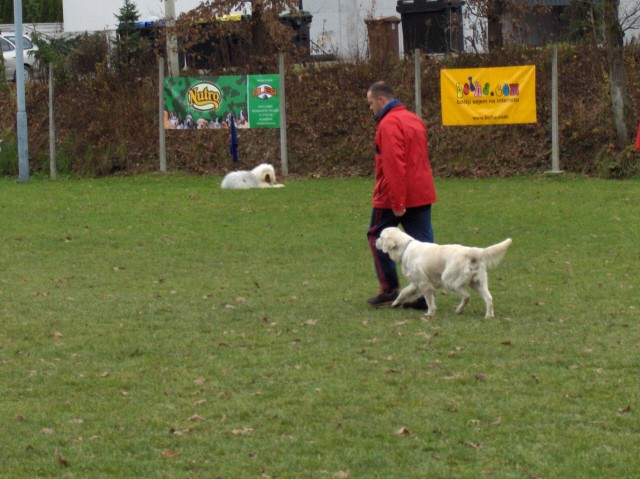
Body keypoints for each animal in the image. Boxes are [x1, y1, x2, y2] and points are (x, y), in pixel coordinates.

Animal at [378, 228, 512, 318]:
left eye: (380, 237)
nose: (375, 241)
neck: (406, 247)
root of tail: (471, 251)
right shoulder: (415, 283)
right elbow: (403, 292)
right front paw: (395, 303)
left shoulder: (424, 284)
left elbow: (429, 300)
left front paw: (430, 313)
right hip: (478, 283)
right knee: (488, 298)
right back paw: (488, 316)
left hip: (449, 280)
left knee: (467, 295)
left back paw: (459, 310)